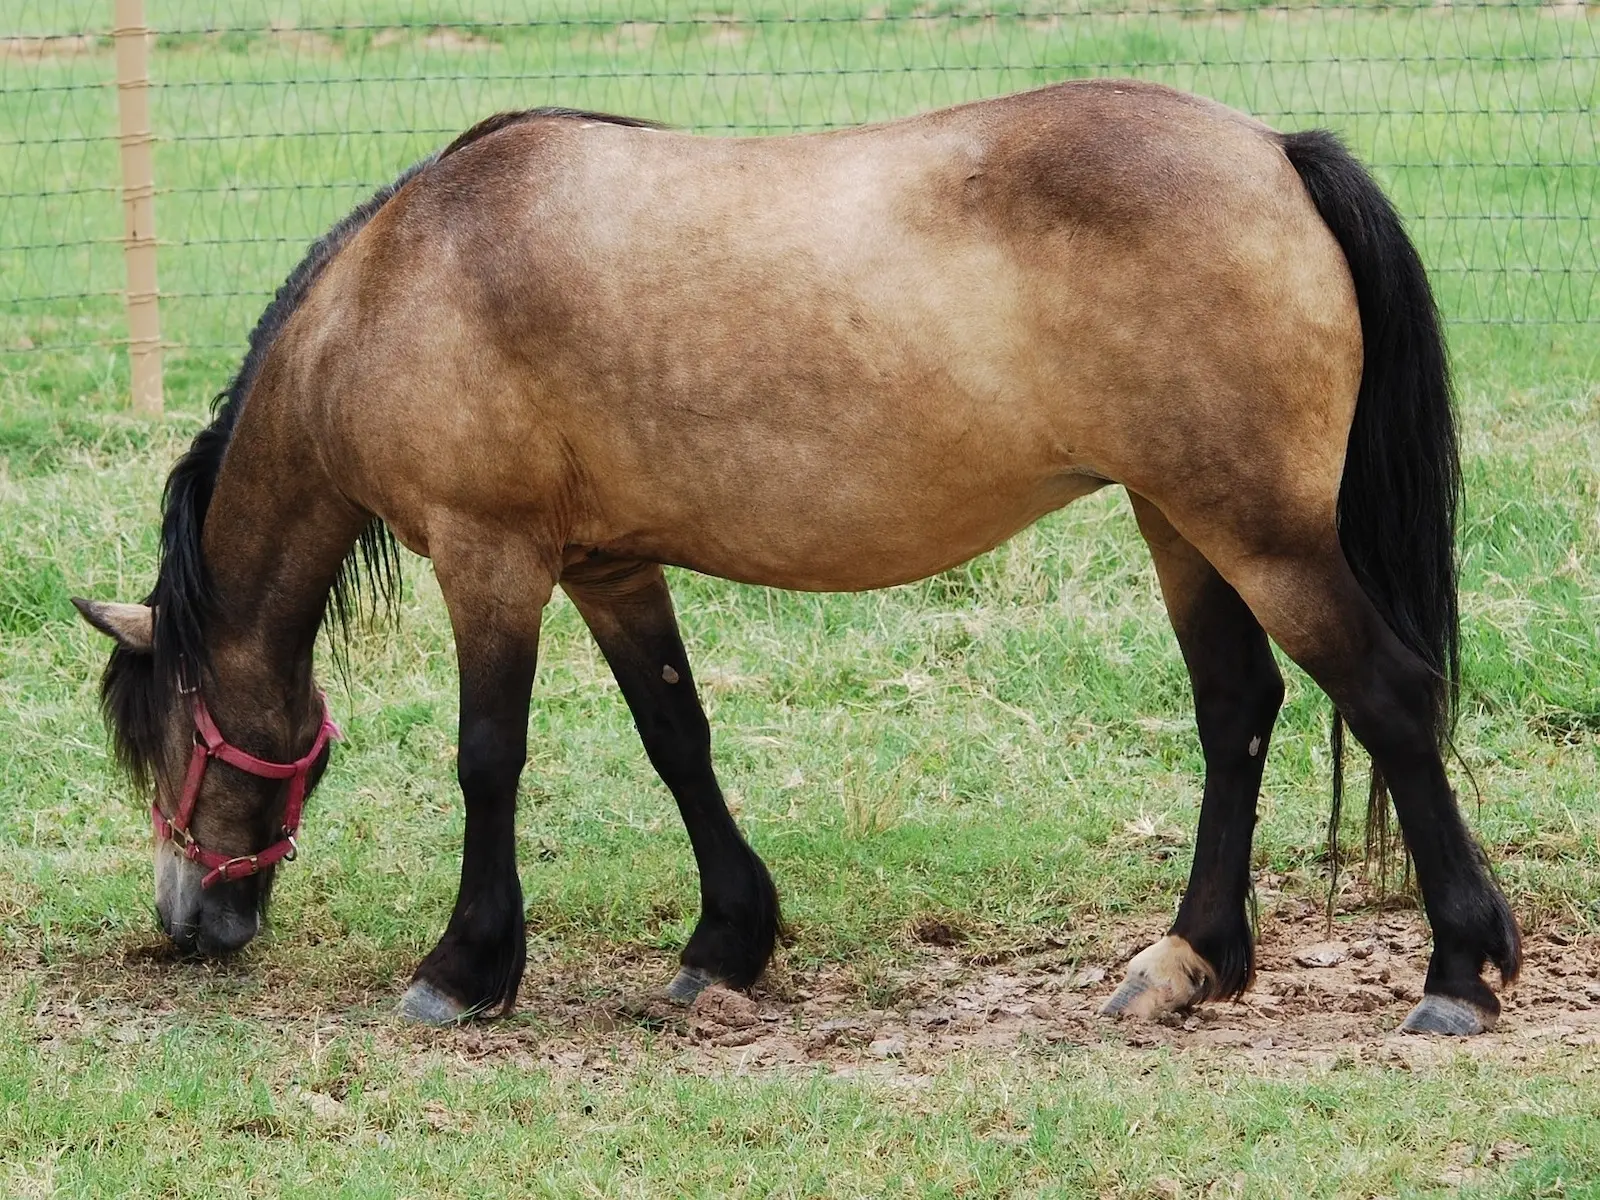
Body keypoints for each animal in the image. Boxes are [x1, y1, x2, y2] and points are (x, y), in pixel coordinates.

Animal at [75, 80, 1516, 1036]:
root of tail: (1273, 151)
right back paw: (1190, 960)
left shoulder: (492, 560)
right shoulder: (608, 568)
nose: (188, 925)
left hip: (1257, 531)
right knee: (1238, 712)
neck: (400, 285)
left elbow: (487, 760)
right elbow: (677, 741)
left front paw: (465, 966)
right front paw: (728, 941)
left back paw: (1459, 970)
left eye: (169, 740)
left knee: (1386, 698)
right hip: (1182, 523)